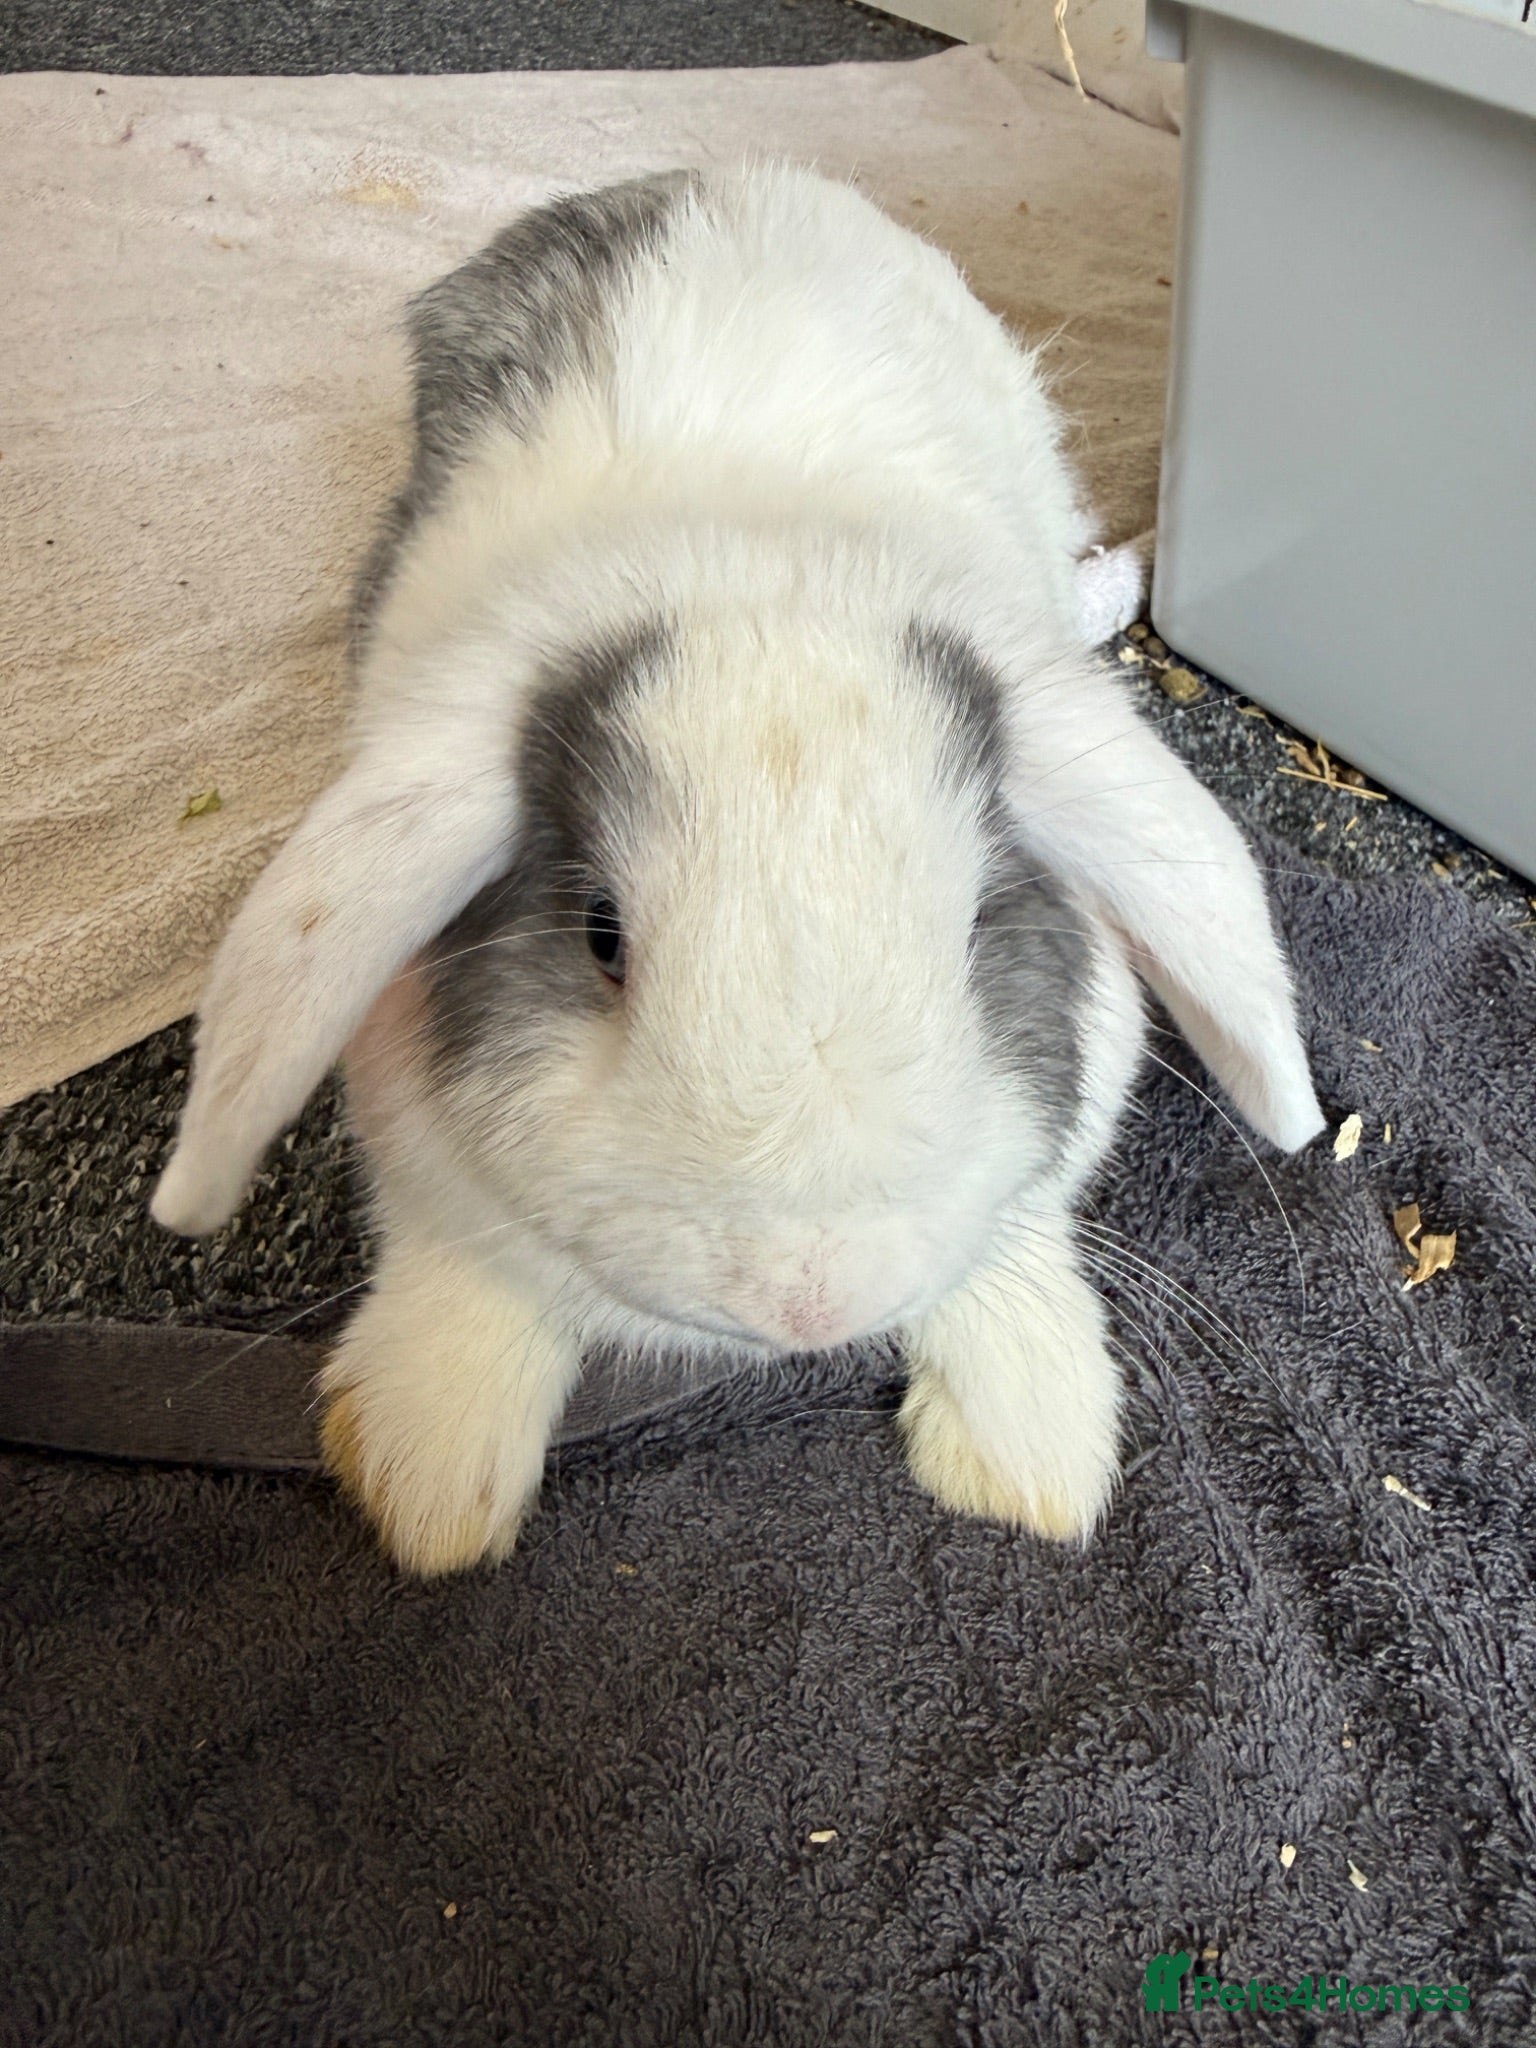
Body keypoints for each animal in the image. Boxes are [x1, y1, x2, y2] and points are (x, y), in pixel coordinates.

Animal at [151, 164, 1324, 1576]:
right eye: (601, 934)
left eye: (977, 924)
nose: (809, 1293)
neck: (762, 566)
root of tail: (708, 177)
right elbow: (464, 1267)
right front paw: (426, 1476)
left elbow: (1017, 1239)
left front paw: (1029, 1449)